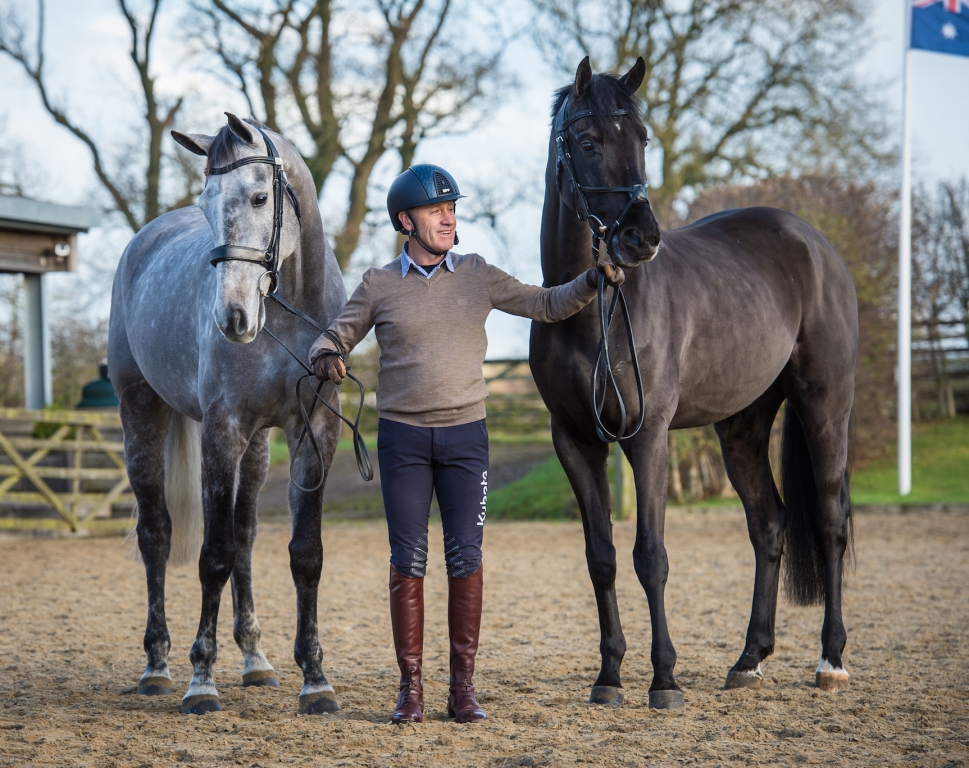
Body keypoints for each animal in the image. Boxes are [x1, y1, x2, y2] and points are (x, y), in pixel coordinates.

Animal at [108, 114, 347, 715]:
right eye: (207, 203)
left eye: (260, 197)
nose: (233, 316)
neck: (289, 316)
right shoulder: (222, 431)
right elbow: (211, 555)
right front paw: (201, 681)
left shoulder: (314, 432)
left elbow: (304, 554)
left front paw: (315, 680)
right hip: (140, 415)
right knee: (156, 535)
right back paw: (157, 667)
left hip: (258, 448)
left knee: (245, 534)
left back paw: (255, 660)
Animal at [529, 57, 857, 709]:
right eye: (587, 141)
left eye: (642, 138)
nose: (641, 238)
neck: (591, 313)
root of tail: (813, 242)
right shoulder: (574, 441)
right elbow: (602, 557)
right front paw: (609, 677)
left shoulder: (649, 436)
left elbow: (650, 557)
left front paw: (664, 680)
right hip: (742, 427)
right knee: (769, 525)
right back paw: (749, 660)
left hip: (826, 406)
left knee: (831, 518)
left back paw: (830, 660)